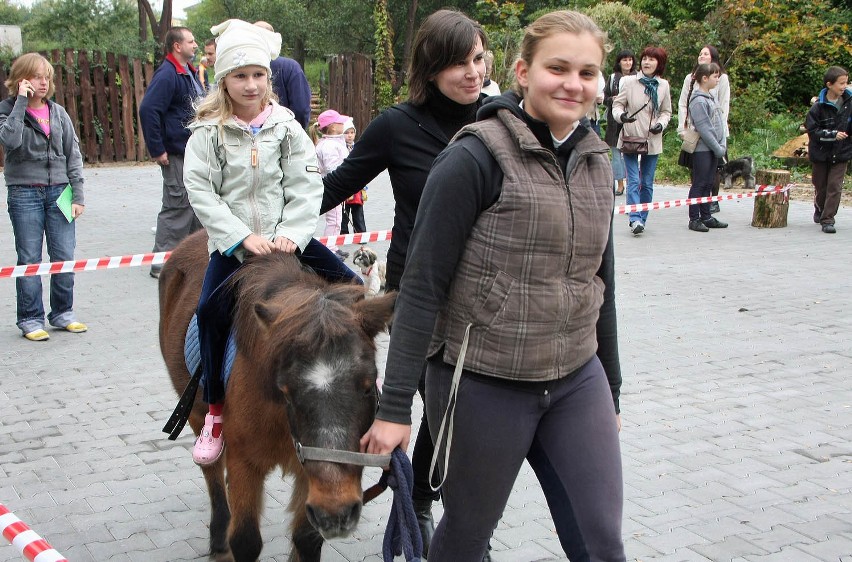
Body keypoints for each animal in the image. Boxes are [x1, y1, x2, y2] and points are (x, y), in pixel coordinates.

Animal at [159, 229, 396, 560]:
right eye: (286, 390)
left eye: (367, 385)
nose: (336, 512)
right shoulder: (245, 462)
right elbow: (245, 539)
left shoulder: (309, 471)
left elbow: (306, 539)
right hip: (195, 413)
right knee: (211, 469)